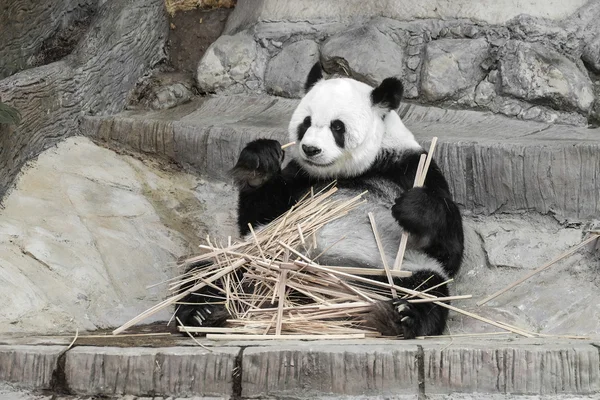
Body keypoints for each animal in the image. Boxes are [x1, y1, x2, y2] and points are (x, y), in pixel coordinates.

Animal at [176, 64, 466, 340]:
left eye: (337, 126)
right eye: (306, 122)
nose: (310, 149)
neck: (352, 170)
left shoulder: (411, 167)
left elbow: (448, 250)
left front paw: (414, 208)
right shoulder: (300, 178)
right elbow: (258, 220)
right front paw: (259, 163)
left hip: (393, 269)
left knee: (428, 289)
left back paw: (400, 315)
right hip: (255, 258)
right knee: (210, 271)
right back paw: (200, 312)